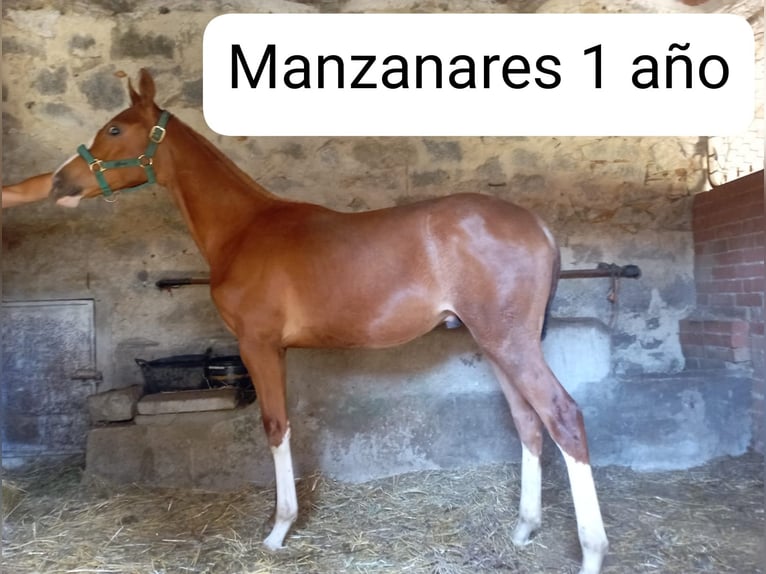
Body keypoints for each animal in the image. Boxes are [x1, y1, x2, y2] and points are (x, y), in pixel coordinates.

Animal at [49, 69, 608, 574]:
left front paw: (278, 530)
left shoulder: (258, 345)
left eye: (115, 130)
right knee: (529, 422)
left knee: (562, 417)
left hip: (510, 342)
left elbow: (275, 426)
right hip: (496, 344)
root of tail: (537, 225)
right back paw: (524, 528)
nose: (58, 181)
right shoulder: (274, 350)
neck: (243, 230)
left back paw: (591, 553)